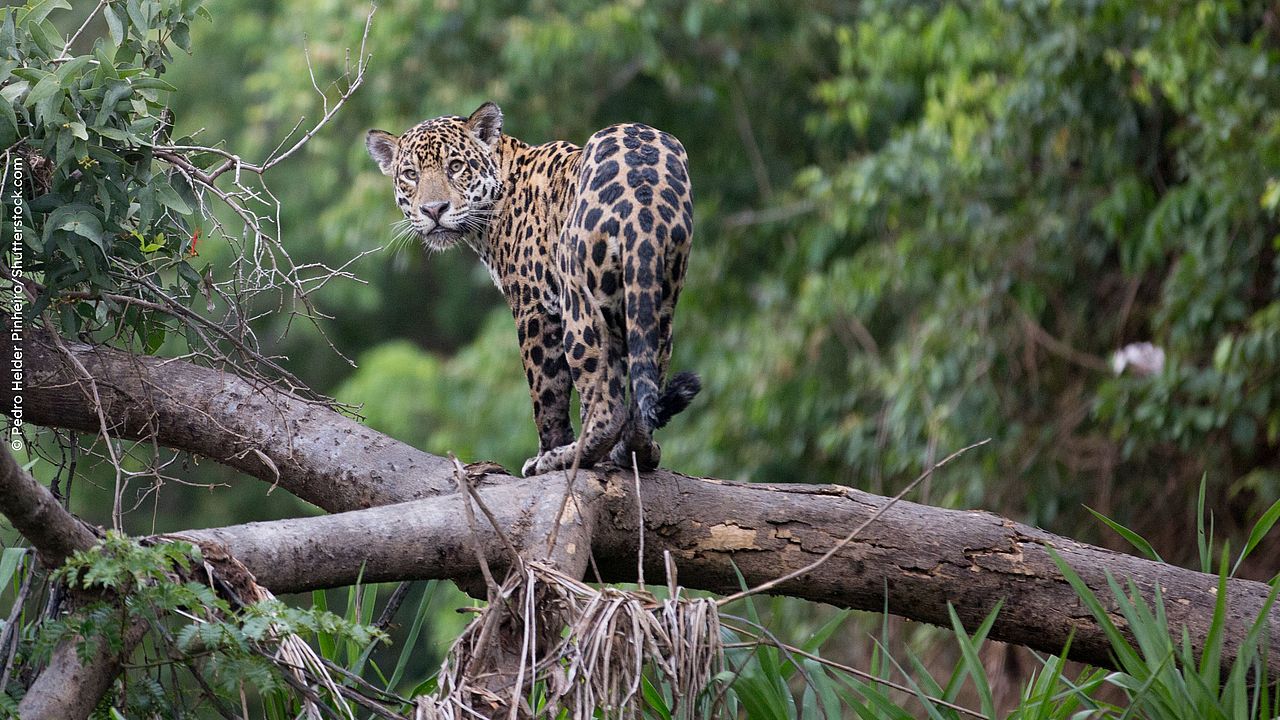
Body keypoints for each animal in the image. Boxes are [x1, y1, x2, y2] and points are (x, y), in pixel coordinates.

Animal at [366, 102, 700, 477]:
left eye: (456, 166)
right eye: (410, 174)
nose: (433, 210)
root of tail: (644, 195)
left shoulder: (535, 306)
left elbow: (547, 393)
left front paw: (546, 452)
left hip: (579, 302)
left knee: (606, 406)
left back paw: (566, 457)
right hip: (659, 297)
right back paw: (636, 450)